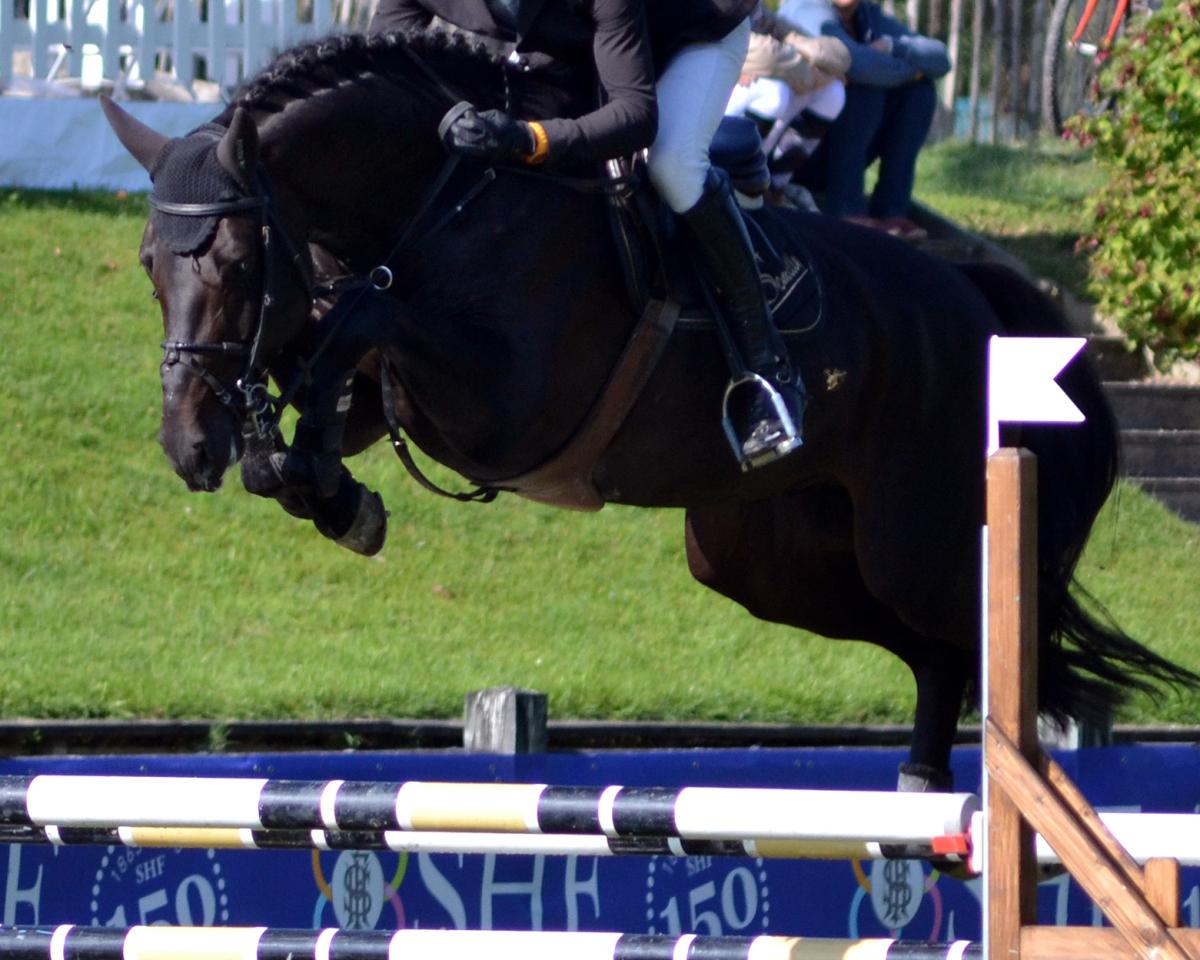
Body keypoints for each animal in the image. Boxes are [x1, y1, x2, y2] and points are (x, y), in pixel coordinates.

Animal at [100, 27, 1195, 794]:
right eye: (151, 265)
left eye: (234, 262)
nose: (183, 446)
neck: (445, 201)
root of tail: (973, 299)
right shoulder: (384, 375)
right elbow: (330, 364)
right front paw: (314, 480)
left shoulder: (510, 404)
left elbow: (363, 315)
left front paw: (312, 473)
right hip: (764, 561)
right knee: (936, 655)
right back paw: (922, 797)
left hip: (912, 542)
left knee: (984, 644)